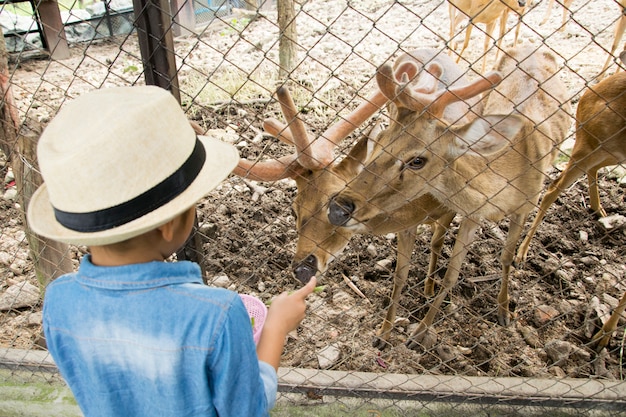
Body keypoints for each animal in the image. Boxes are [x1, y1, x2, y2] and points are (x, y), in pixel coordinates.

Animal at [232, 48, 486, 348]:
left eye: (332, 200)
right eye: (294, 210)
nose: (302, 268)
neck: (425, 200)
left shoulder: (457, 210)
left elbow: (439, 250)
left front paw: (425, 303)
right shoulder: (408, 224)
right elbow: (400, 275)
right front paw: (384, 333)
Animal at [326, 47, 572, 350]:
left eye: (417, 160)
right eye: (379, 141)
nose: (338, 208)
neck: (504, 186)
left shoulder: (523, 206)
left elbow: (497, 260)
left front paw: (502, 312)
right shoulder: (471, 214)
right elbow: (416, 273)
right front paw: (386, 333)